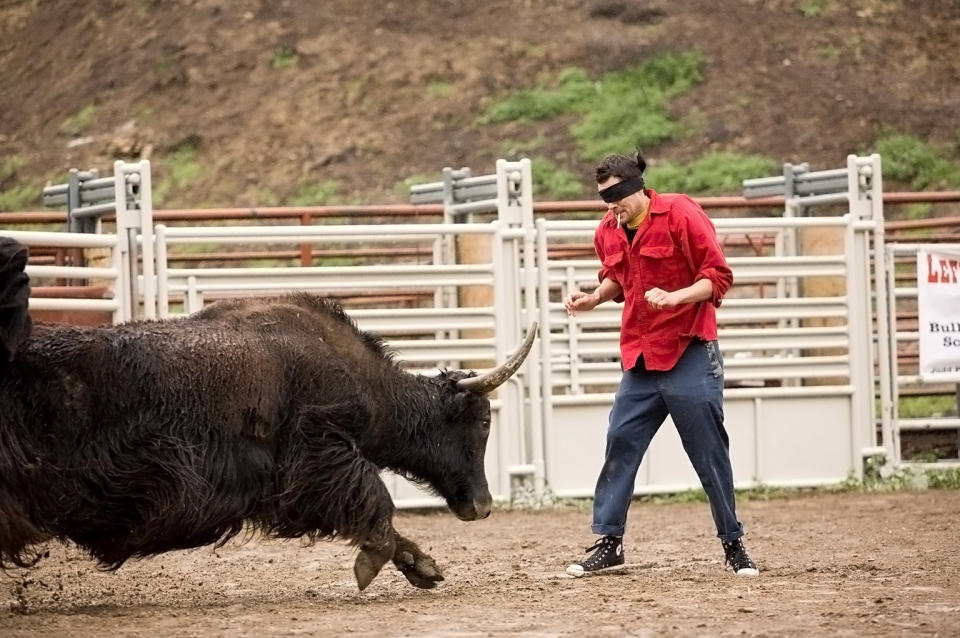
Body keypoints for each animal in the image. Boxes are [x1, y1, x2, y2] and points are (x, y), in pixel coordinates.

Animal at [0, 238, 540, 592]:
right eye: (482, 422)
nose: (482, 506)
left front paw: (423, 567)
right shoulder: (320, 454)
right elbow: (375, 500)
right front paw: (373, 564)